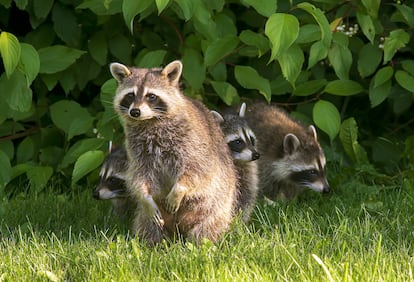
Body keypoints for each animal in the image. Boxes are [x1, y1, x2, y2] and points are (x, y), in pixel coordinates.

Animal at [110, 60, 238, 245]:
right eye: (130, 95)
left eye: (151, 96)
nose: (135, 112)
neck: (150, 122)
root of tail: (179, 231)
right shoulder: (136, 150)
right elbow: (139, 176)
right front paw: (144, 196)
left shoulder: (193, 142)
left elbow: (197, 170)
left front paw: (179, 189)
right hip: (153, 218)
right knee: (148, 224)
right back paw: (154, 243)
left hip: (216, 206)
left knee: (208, 226)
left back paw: (201, 242)